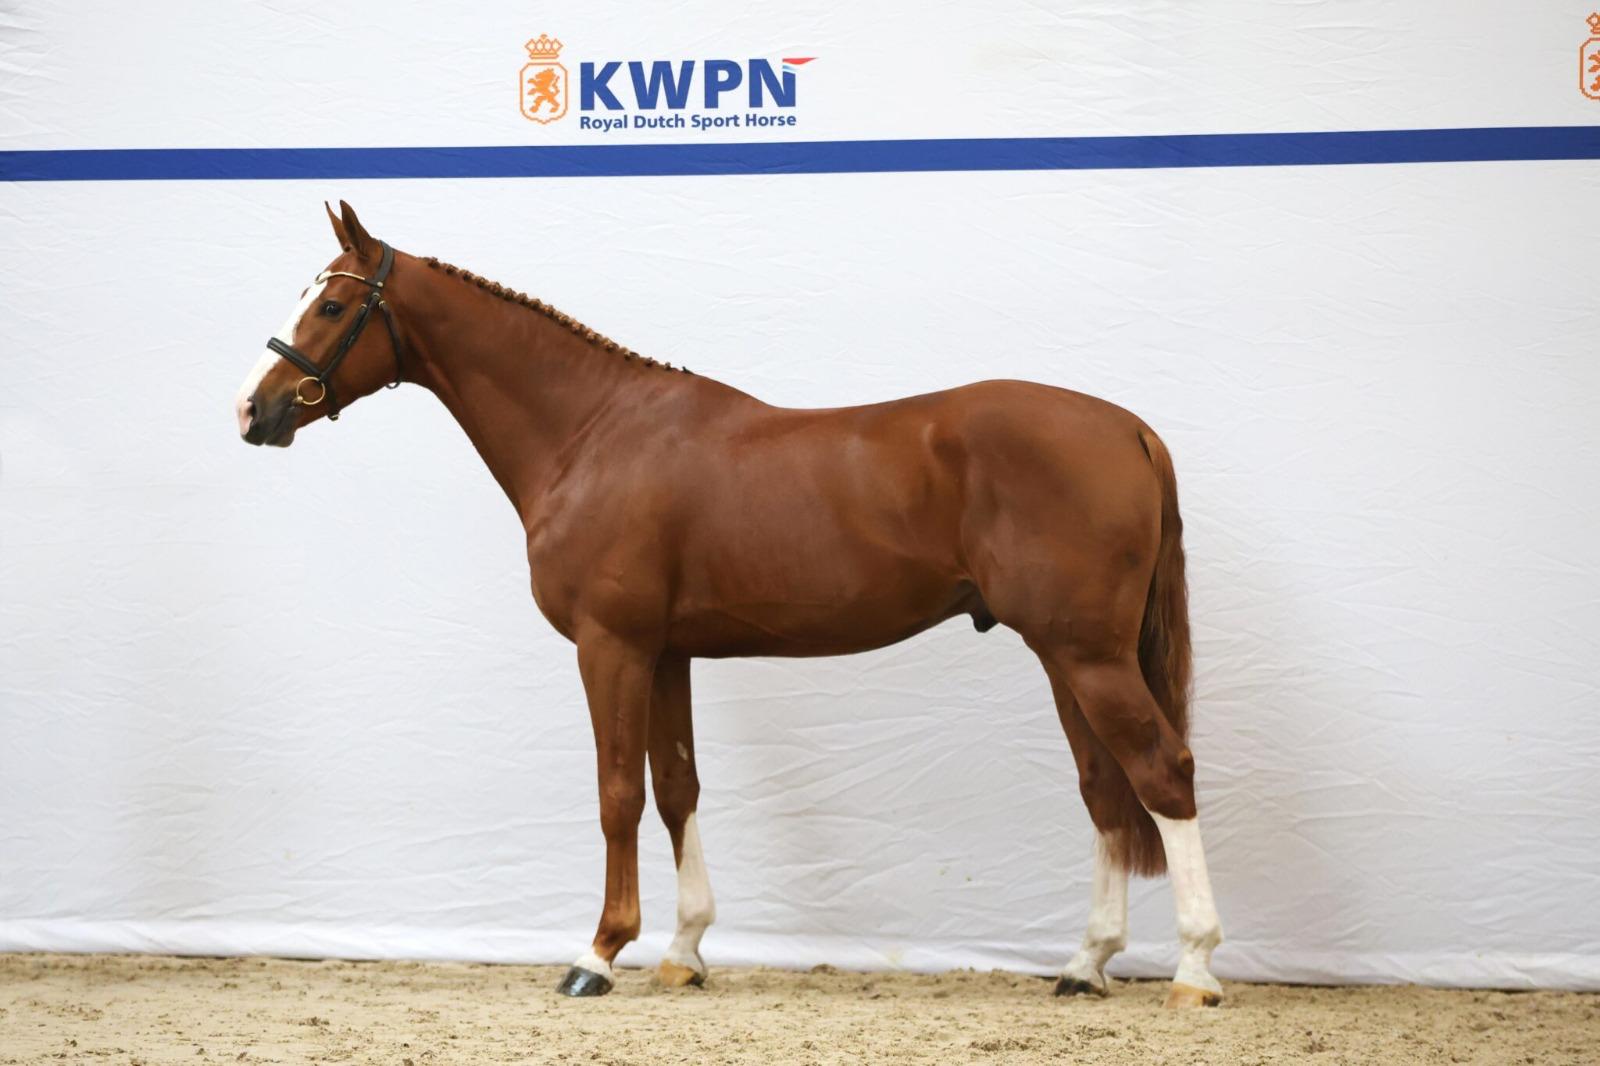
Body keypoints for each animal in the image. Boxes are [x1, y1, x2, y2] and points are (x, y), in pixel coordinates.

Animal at [234, 202, 1225, 1008]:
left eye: (331, 307)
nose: (253, 411)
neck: (593, 434)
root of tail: (1131, 429)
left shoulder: (610, 646)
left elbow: (617, 792)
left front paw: (599, 953)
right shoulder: (666, 652)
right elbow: (677, 788)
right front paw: (684, 951)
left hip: (1088, 656)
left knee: (1161, 771)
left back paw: (1195, 968)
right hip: (1066, 655)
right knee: (1104, 788)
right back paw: (1086, 964)